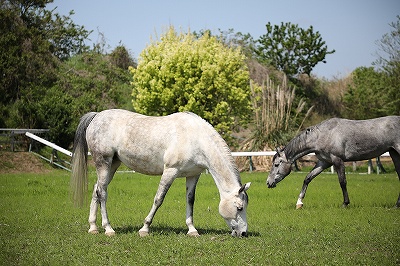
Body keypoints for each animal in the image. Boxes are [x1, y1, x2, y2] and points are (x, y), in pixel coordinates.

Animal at [70, 109, 248, 237]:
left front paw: (192, 230)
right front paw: (144, 229)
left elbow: (190, 201)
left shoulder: (193, 175)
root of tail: (96, 116)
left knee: (97, 190)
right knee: (102, 194)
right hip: (103, 163)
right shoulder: (170, 171)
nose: (244, 233)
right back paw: (108, 229)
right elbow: (158, 199)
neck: (195, 138)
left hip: (112, 165)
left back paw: (93, 227)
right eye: (239, 208)